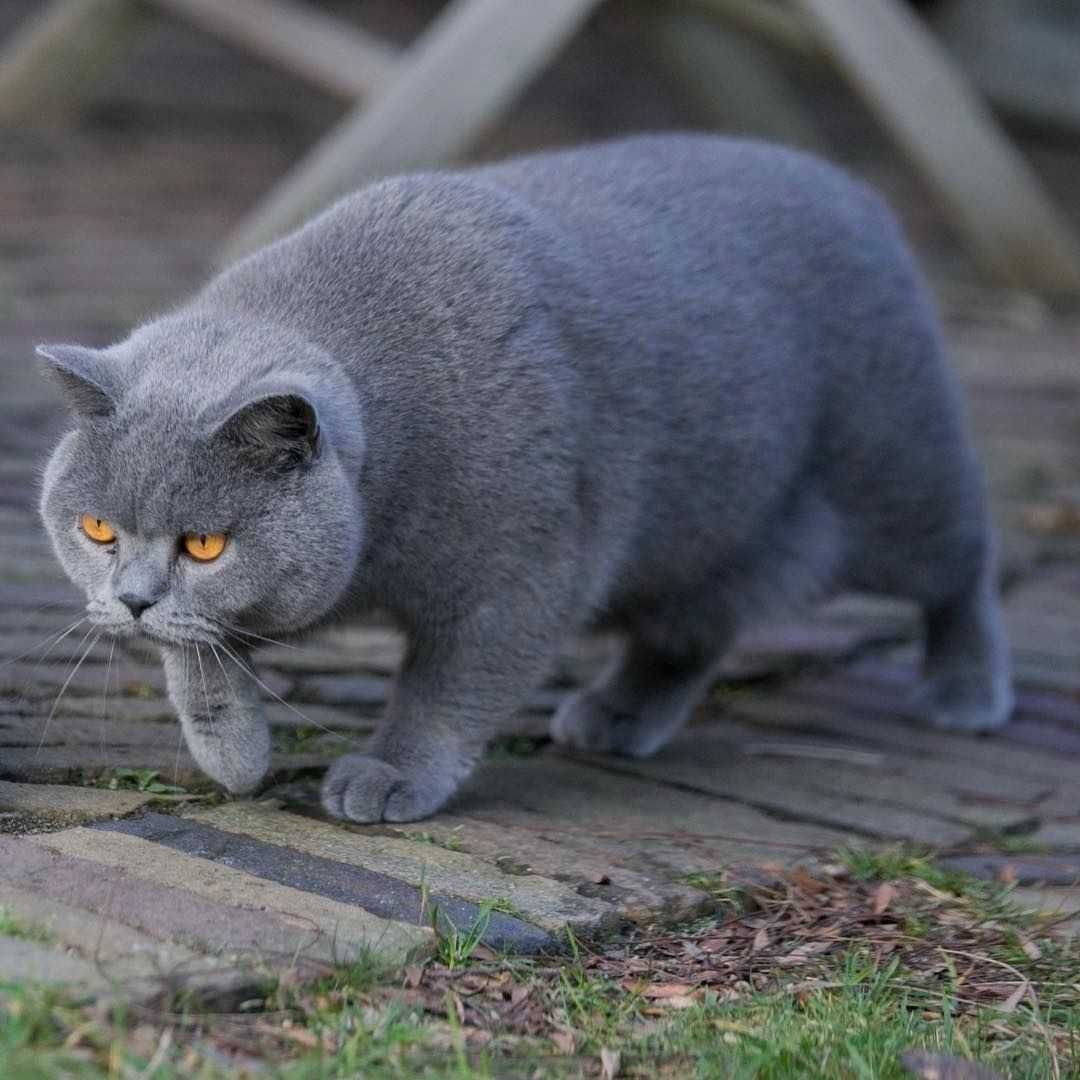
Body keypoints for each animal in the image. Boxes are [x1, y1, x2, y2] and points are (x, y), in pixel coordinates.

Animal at [33, 139, 1010, 820]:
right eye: (97, 531)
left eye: (205, 544)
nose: (131, 601)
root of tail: (853, 187)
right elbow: (200, 655)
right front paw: (233, 753)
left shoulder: (519, 574)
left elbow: (446, 685)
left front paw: (388, 775)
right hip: (702, 531)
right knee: (697, 624)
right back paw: (620, 717)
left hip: (893, 474)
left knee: (961, 564)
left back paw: (967, 692)